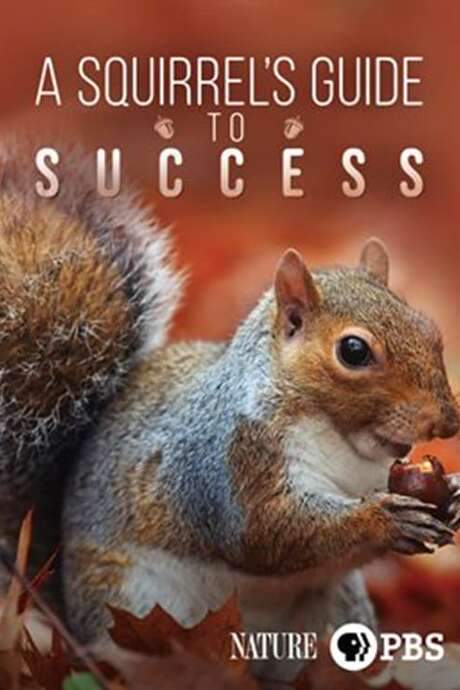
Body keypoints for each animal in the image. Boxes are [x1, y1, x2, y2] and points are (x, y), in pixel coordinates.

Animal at [1, 140, 460, 682]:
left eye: (429, 328)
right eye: (353, 351)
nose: (447, 421)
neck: (345, 444)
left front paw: (450, 496)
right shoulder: (227, 462)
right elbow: (266, 532)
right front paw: (382, 519)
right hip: (134, 613)